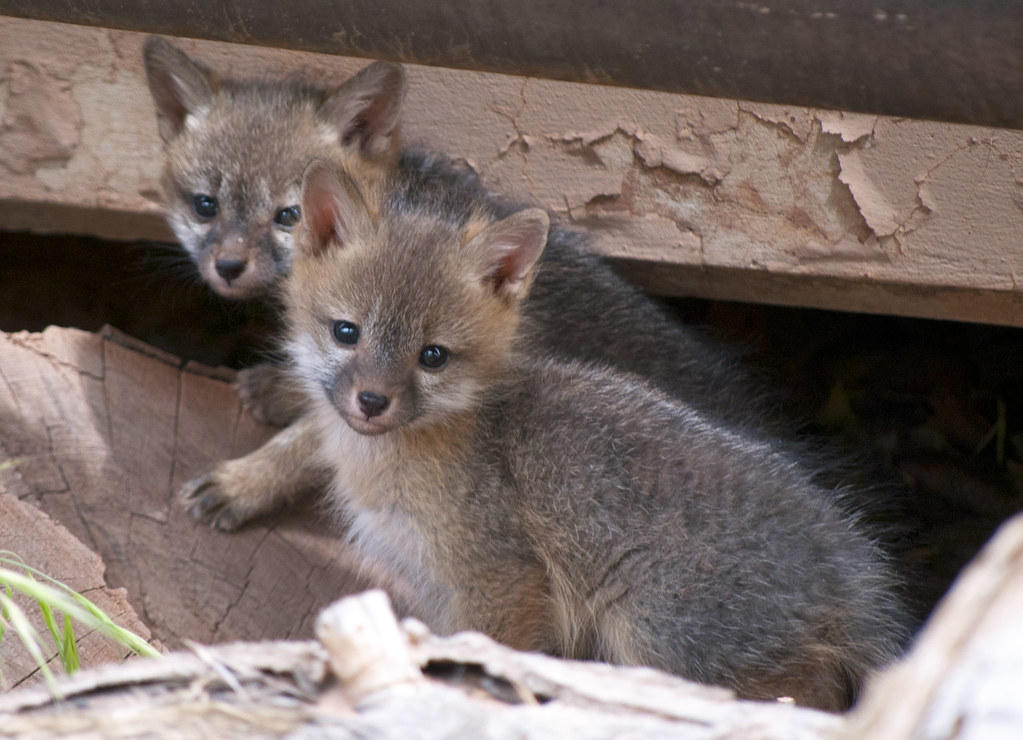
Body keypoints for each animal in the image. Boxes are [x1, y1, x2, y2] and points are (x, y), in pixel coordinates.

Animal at [262, 158, 909, 711]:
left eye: (433, 356)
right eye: (346, 332)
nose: (372, 402)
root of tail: (848, 558)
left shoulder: (502, 578)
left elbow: (482, 652)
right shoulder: (438, 585)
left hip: (653, 633)